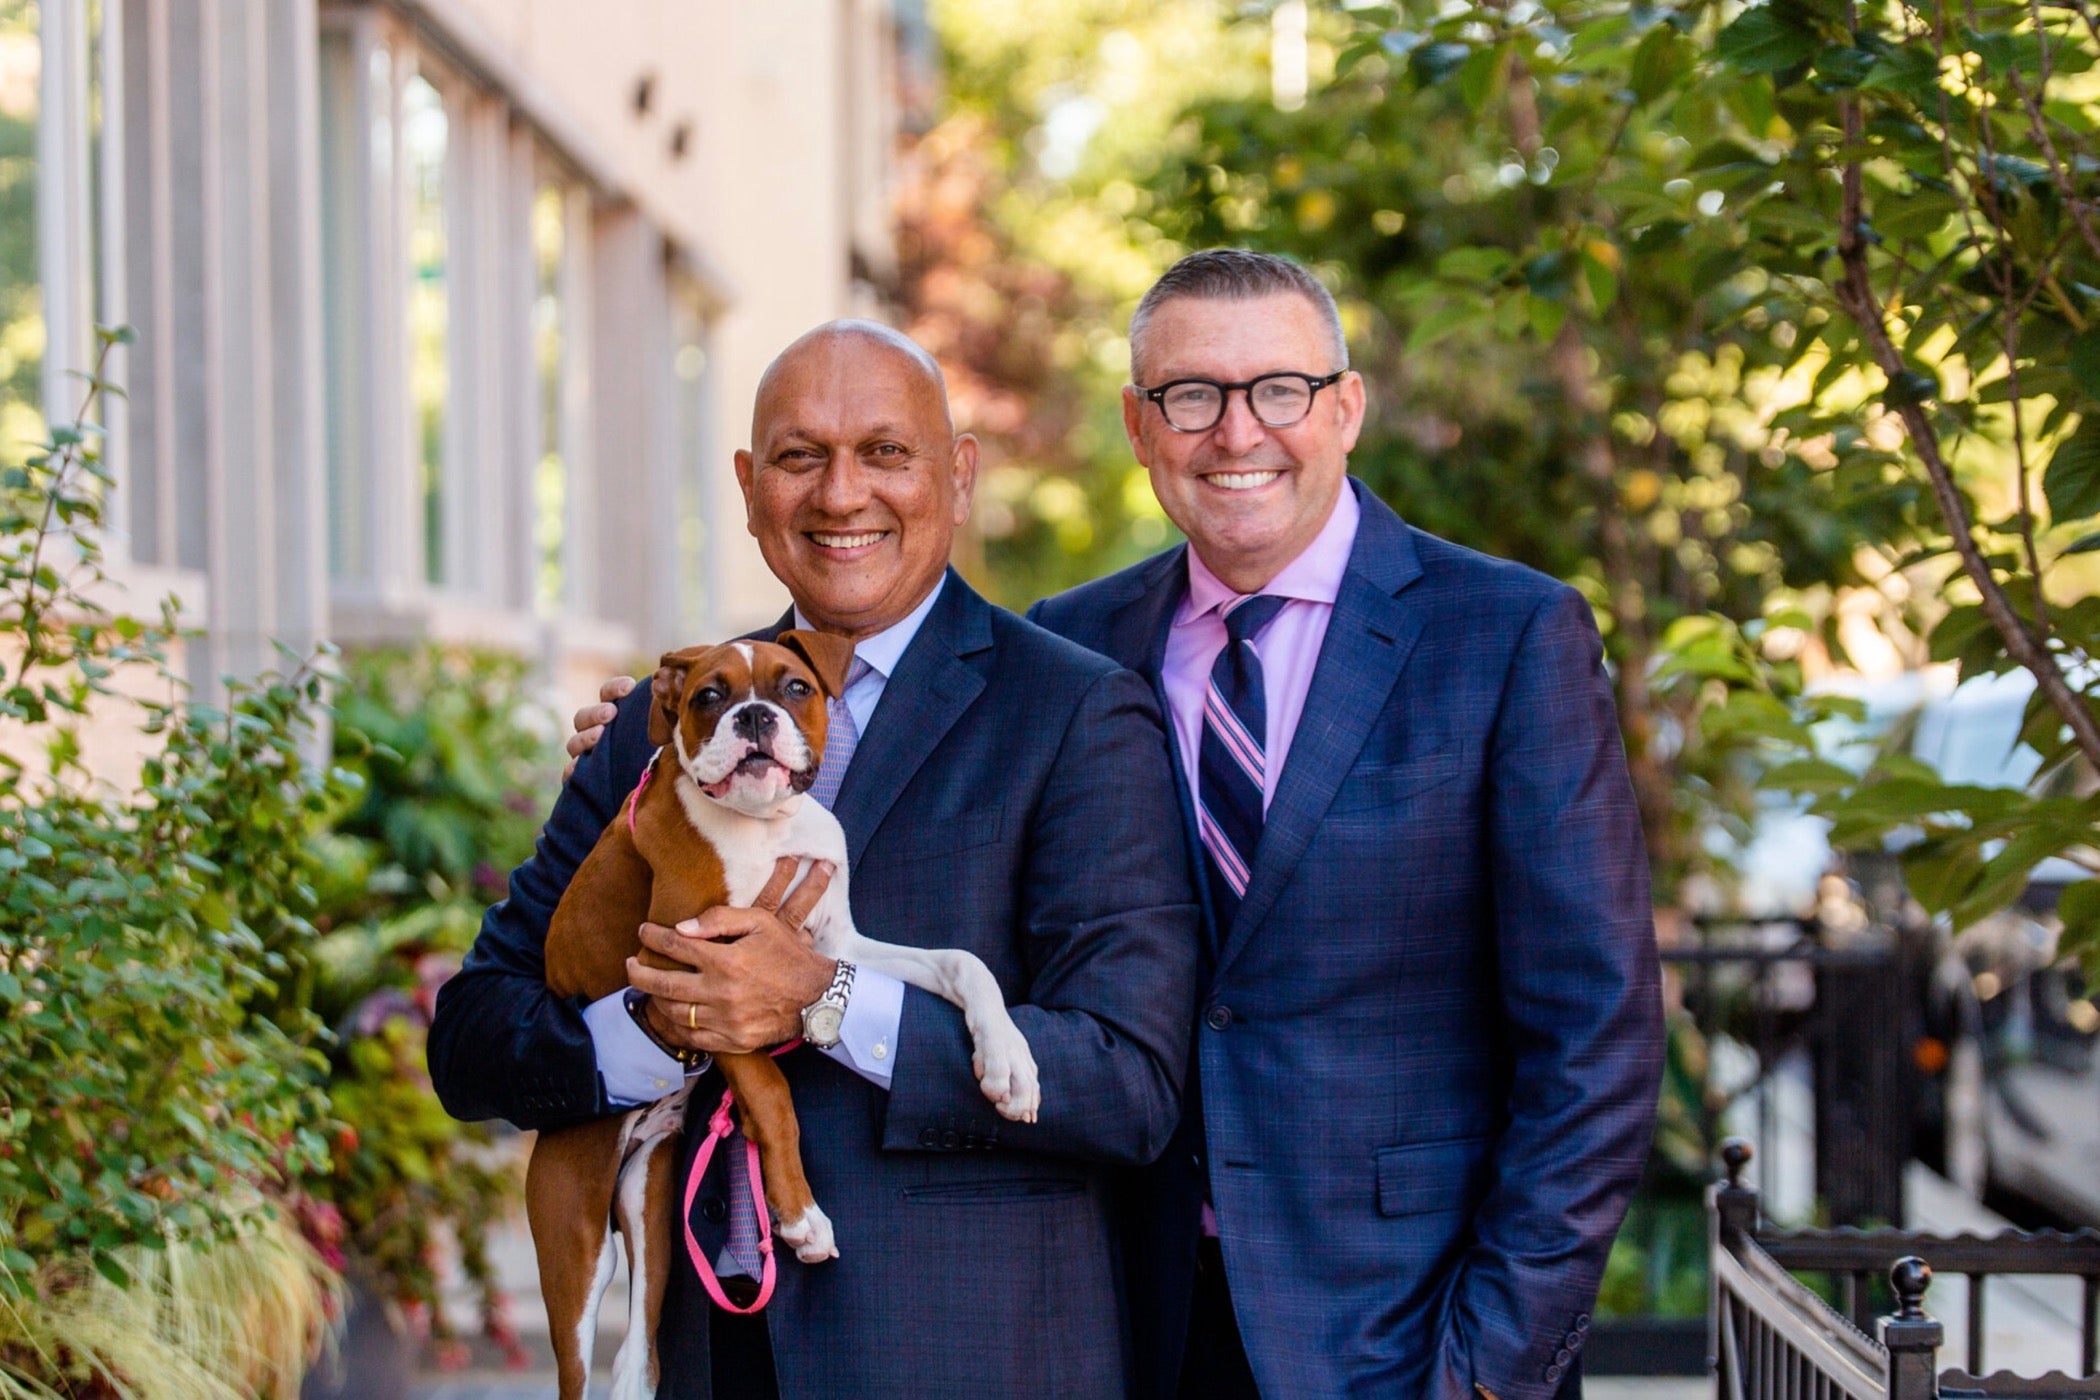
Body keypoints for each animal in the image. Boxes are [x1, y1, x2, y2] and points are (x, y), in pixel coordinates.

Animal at [525, 633, 1033, 1400]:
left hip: (651, 1213)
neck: (763, 829)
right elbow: (769, 1090)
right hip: (577, 1244)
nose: (756, 717)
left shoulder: (836, 950)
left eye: (795, 688)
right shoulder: (696, 977)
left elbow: (960, 961)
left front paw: (1009, 1062)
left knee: (636, 1360)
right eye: (709, 696)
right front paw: (799, 1219)